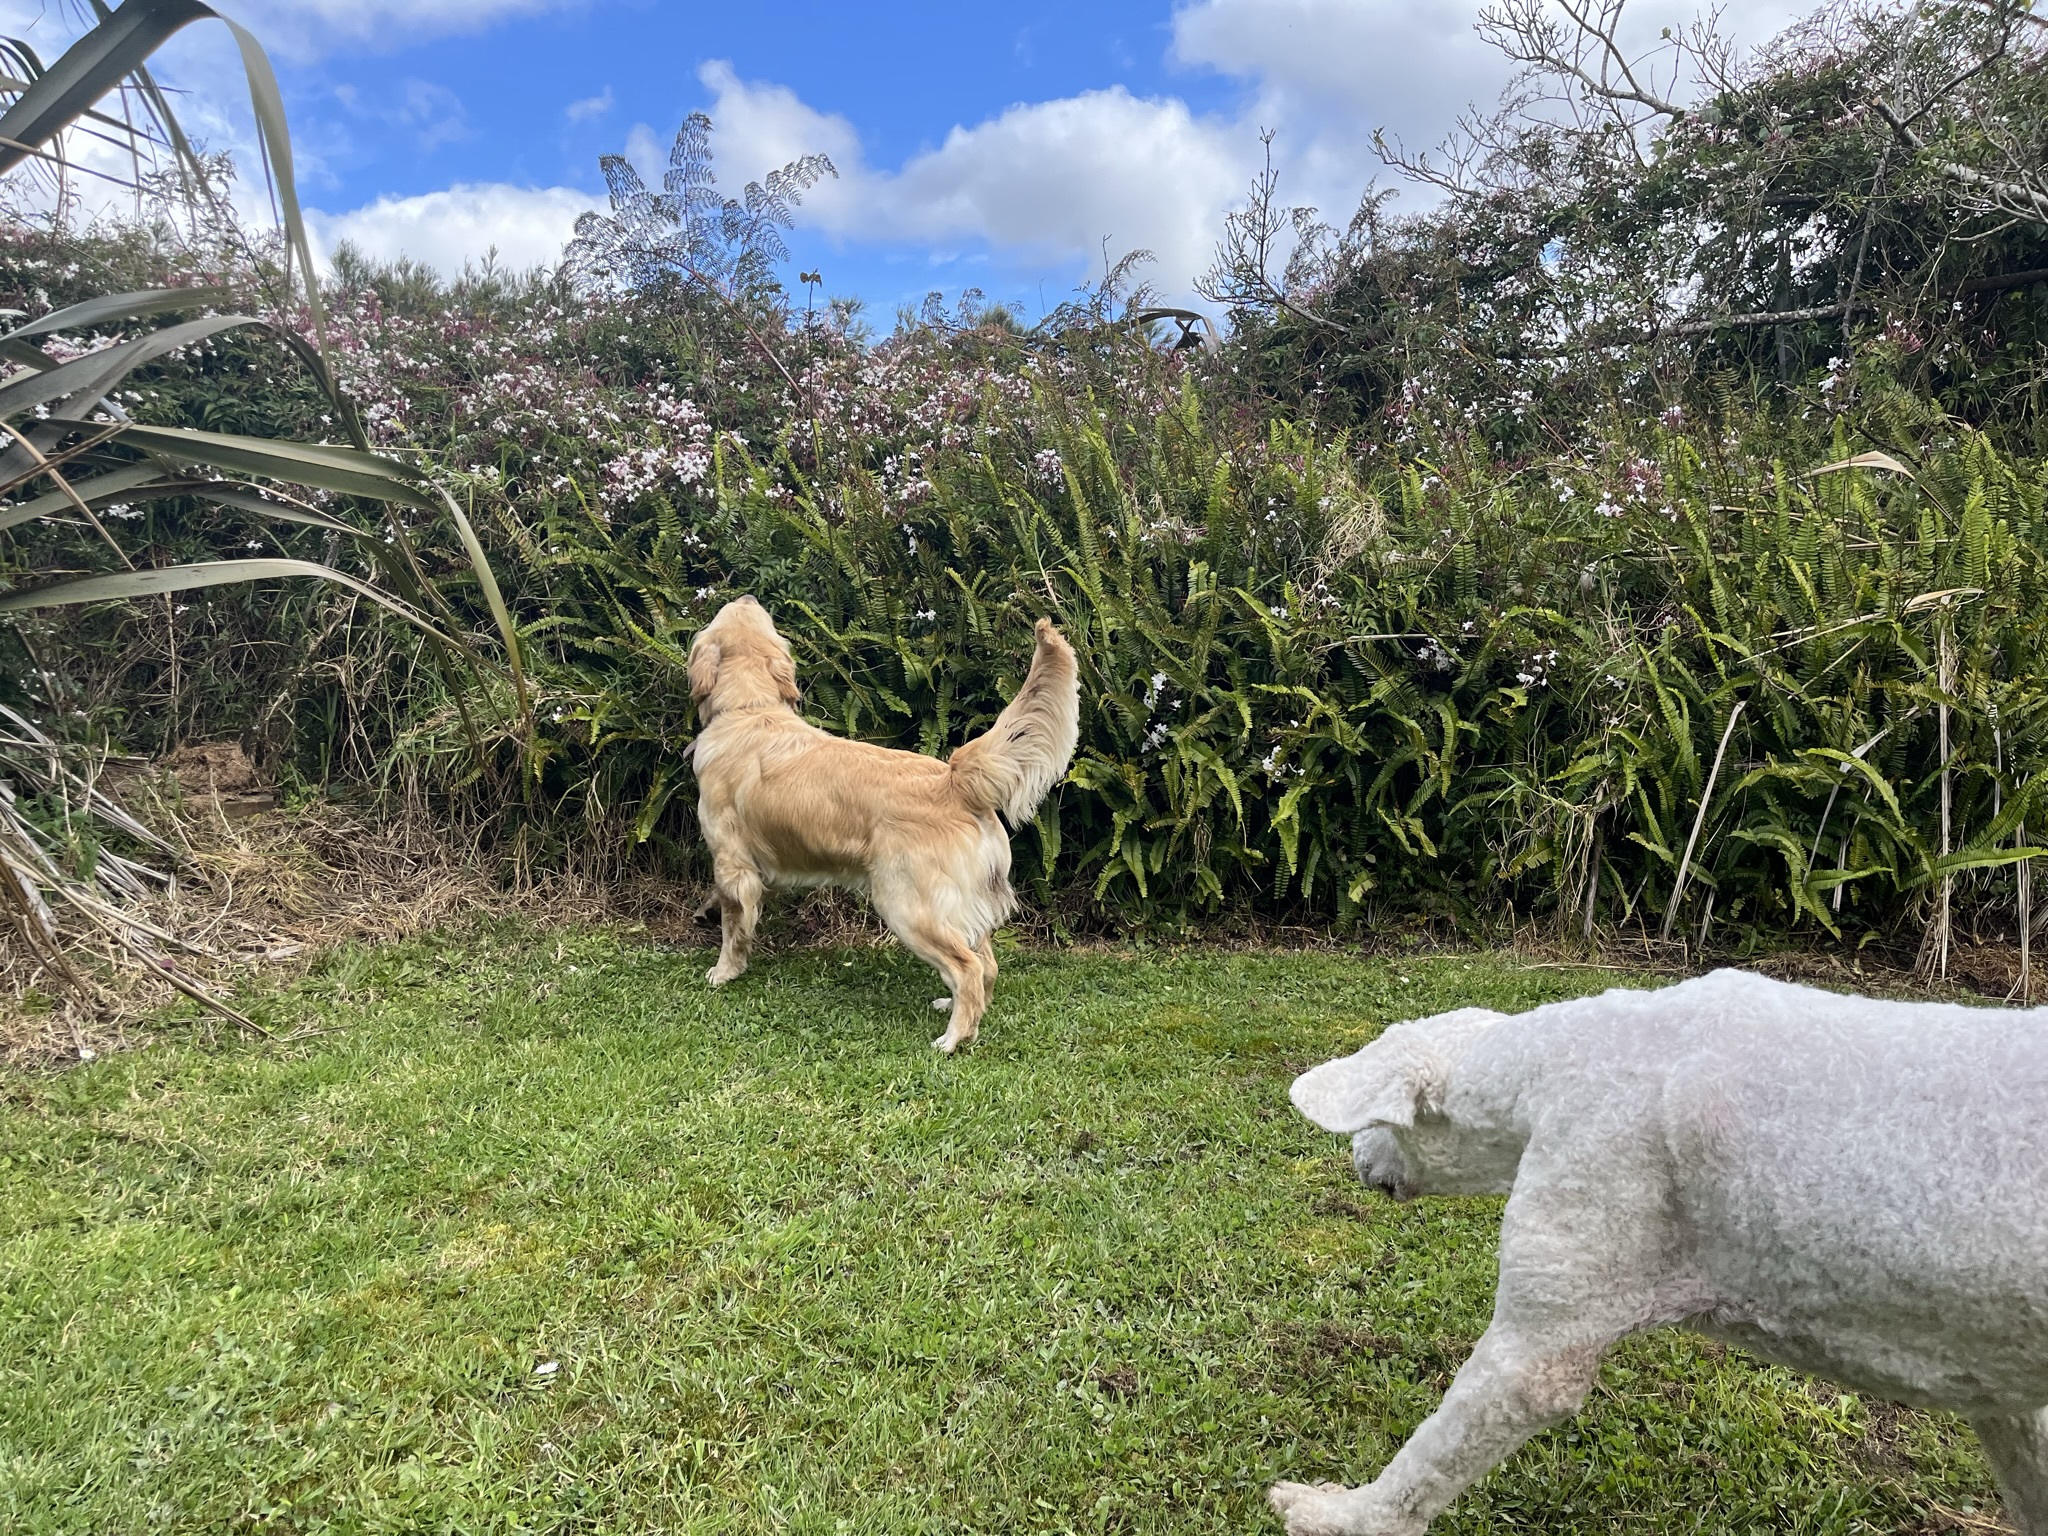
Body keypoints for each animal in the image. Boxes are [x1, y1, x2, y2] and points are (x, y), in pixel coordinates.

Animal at [684, 593, 1081, 1056]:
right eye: (757, 615)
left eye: (728, 612)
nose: (746, 595)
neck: (749, 710)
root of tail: (953, 779)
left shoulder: (732, 864)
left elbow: (733, 927)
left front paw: (724, 971)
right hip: (954, 906)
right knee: (986, 966)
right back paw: (956, 1010)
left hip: (906, 907)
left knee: (967, 968)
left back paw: (951, 1039)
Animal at [1269, 974, 2048, 1536]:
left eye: (1378, 1123)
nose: (1358, 1159)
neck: (1562, 1062)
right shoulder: (2011, 1405)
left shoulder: (1541, 1348)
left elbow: (1425, 1466)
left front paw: (1336, 1514)